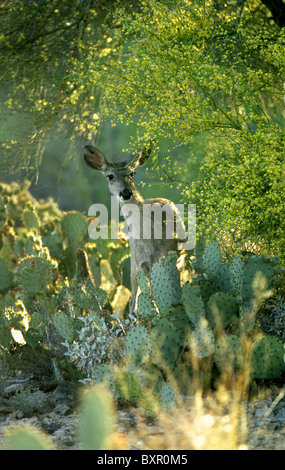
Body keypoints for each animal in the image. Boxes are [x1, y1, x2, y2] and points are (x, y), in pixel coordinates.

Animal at [82, 141, 184, 314]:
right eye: (110, 176)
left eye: (132, 173)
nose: (125, 192)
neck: (150, 240)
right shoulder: (142, 262)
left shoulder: (165, 255)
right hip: (133, 264)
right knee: (132, 299)